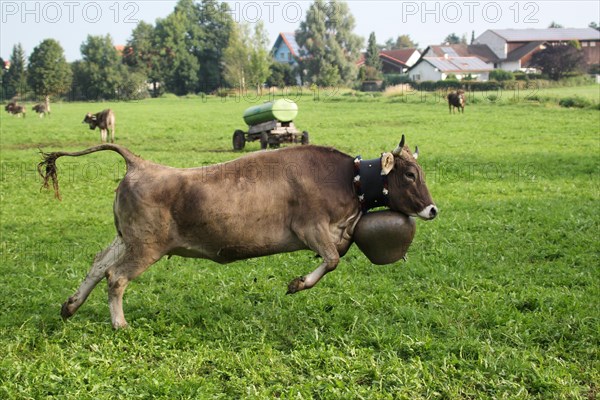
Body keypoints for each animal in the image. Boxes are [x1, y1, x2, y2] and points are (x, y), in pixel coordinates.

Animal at [39, 137, 438, 328]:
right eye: (409, 175)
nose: (433, 210)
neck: (349, 178)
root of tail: (140, 164)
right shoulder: (310, 227)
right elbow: (332, 259)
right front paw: (297, 284)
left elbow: (335, 255)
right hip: (146, 246)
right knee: (116, 277)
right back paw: (119, 324)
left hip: (127, 238)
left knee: (98, 264)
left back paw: (70, 306)